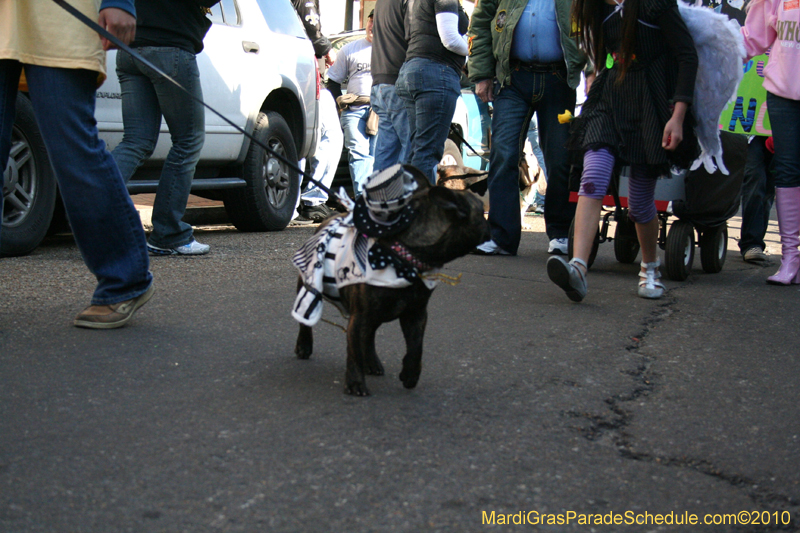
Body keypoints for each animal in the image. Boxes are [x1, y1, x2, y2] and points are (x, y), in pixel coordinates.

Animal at [296, 166, 490, 394]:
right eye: (481, 212)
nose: (489, 223)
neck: (405, 258)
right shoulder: (360, 316)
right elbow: (353, 351)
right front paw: (355, 383)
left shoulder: (416, 314)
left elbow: (416, 347)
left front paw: (410, 374)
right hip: (311, 286)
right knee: (307, 320)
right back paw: (304, 345)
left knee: (369, 336)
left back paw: (372, 362)